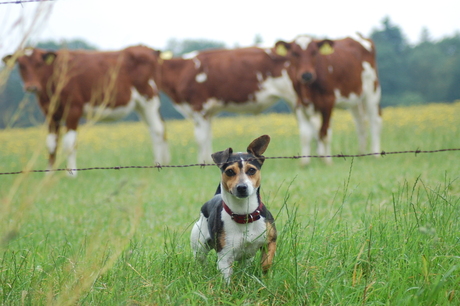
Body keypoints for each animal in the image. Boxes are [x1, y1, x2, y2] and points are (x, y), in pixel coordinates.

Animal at [1, 44, 171, 175]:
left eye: (39, 64)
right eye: (21, 65)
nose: (32, 86)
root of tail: (149, 49)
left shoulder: (73, 109)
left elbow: (69, 143)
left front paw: (71, 173)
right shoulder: (50, 113)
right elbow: (51, 143)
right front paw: (48, 174)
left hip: (149, 99)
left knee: (157, 129)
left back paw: (158, 164)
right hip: (140, 105)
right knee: (156, 129)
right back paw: (162, 162)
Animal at [190, 135, 276, 284]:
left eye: (251, 170)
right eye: (230, 171)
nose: (241, 187)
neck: (244, 215)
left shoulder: (270, 241)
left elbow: (266, 263)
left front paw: (264, 280)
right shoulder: (225, 256)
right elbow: (227, 278)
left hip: (247, 257)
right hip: (199, 246)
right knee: (201, 261)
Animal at [274, 33, 382, 165]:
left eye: (314, 52)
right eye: (294, 53)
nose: (306, 75)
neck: (308, 88)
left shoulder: (327, 103)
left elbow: (324, 133)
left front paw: (327, 161)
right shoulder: (299, 104)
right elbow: (305, 135)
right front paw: (304, 163)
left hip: (372, 90)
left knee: (375, 121)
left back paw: (375, 154)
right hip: (355, 98)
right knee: (360, 123)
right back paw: (361, 153)